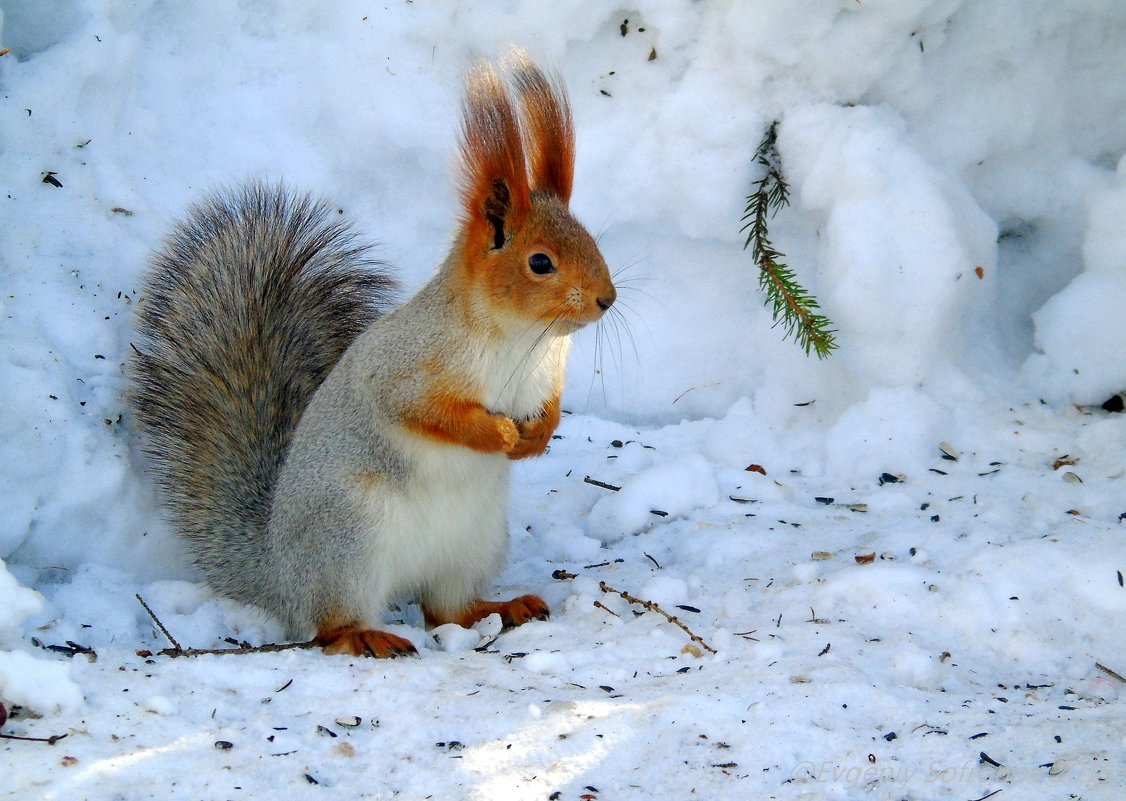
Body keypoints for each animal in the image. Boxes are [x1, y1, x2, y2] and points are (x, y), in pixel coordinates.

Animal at [130, 54, 617, 657]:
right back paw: (366, 636)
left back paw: (505, 607)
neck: (524, 336)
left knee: (445, 609)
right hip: (350, 541)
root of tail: (279, 570)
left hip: (473, 544)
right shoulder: (406, 369)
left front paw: (536, 438)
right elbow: (426, 413)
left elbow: (549, 408)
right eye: (541, 263)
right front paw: (498, 434)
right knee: (328, 628)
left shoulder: (549, 373)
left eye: (592, 241)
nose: (607, 299)